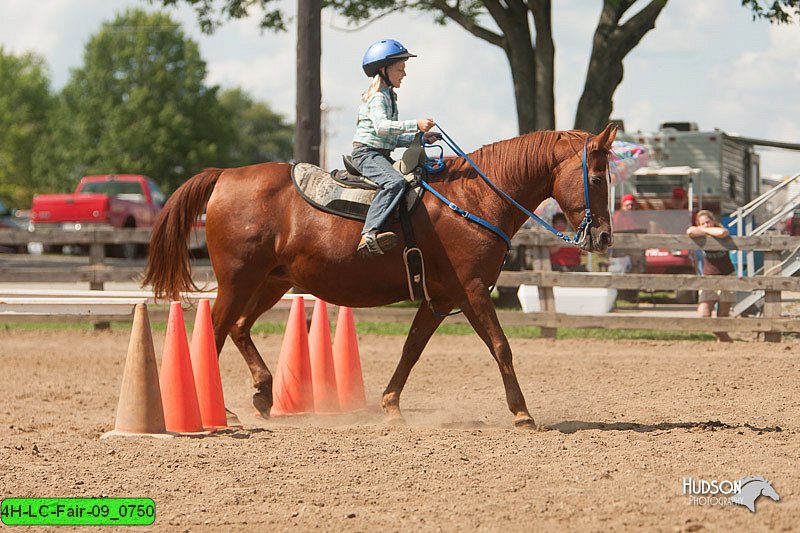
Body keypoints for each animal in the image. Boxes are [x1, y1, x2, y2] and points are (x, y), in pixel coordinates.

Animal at [144, 122, 620, 426]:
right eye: (597, 178)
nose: (603, 237)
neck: (473, 199)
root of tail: (225, 175)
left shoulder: (441, 298)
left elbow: (411, 350)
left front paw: (390, 405)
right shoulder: (471, 292)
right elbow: (501, 347)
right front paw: (521, 412)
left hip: (272, 282)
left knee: (240, 328)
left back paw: (263, 394)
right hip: (239, 280)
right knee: (216, 331)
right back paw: (219, 411)